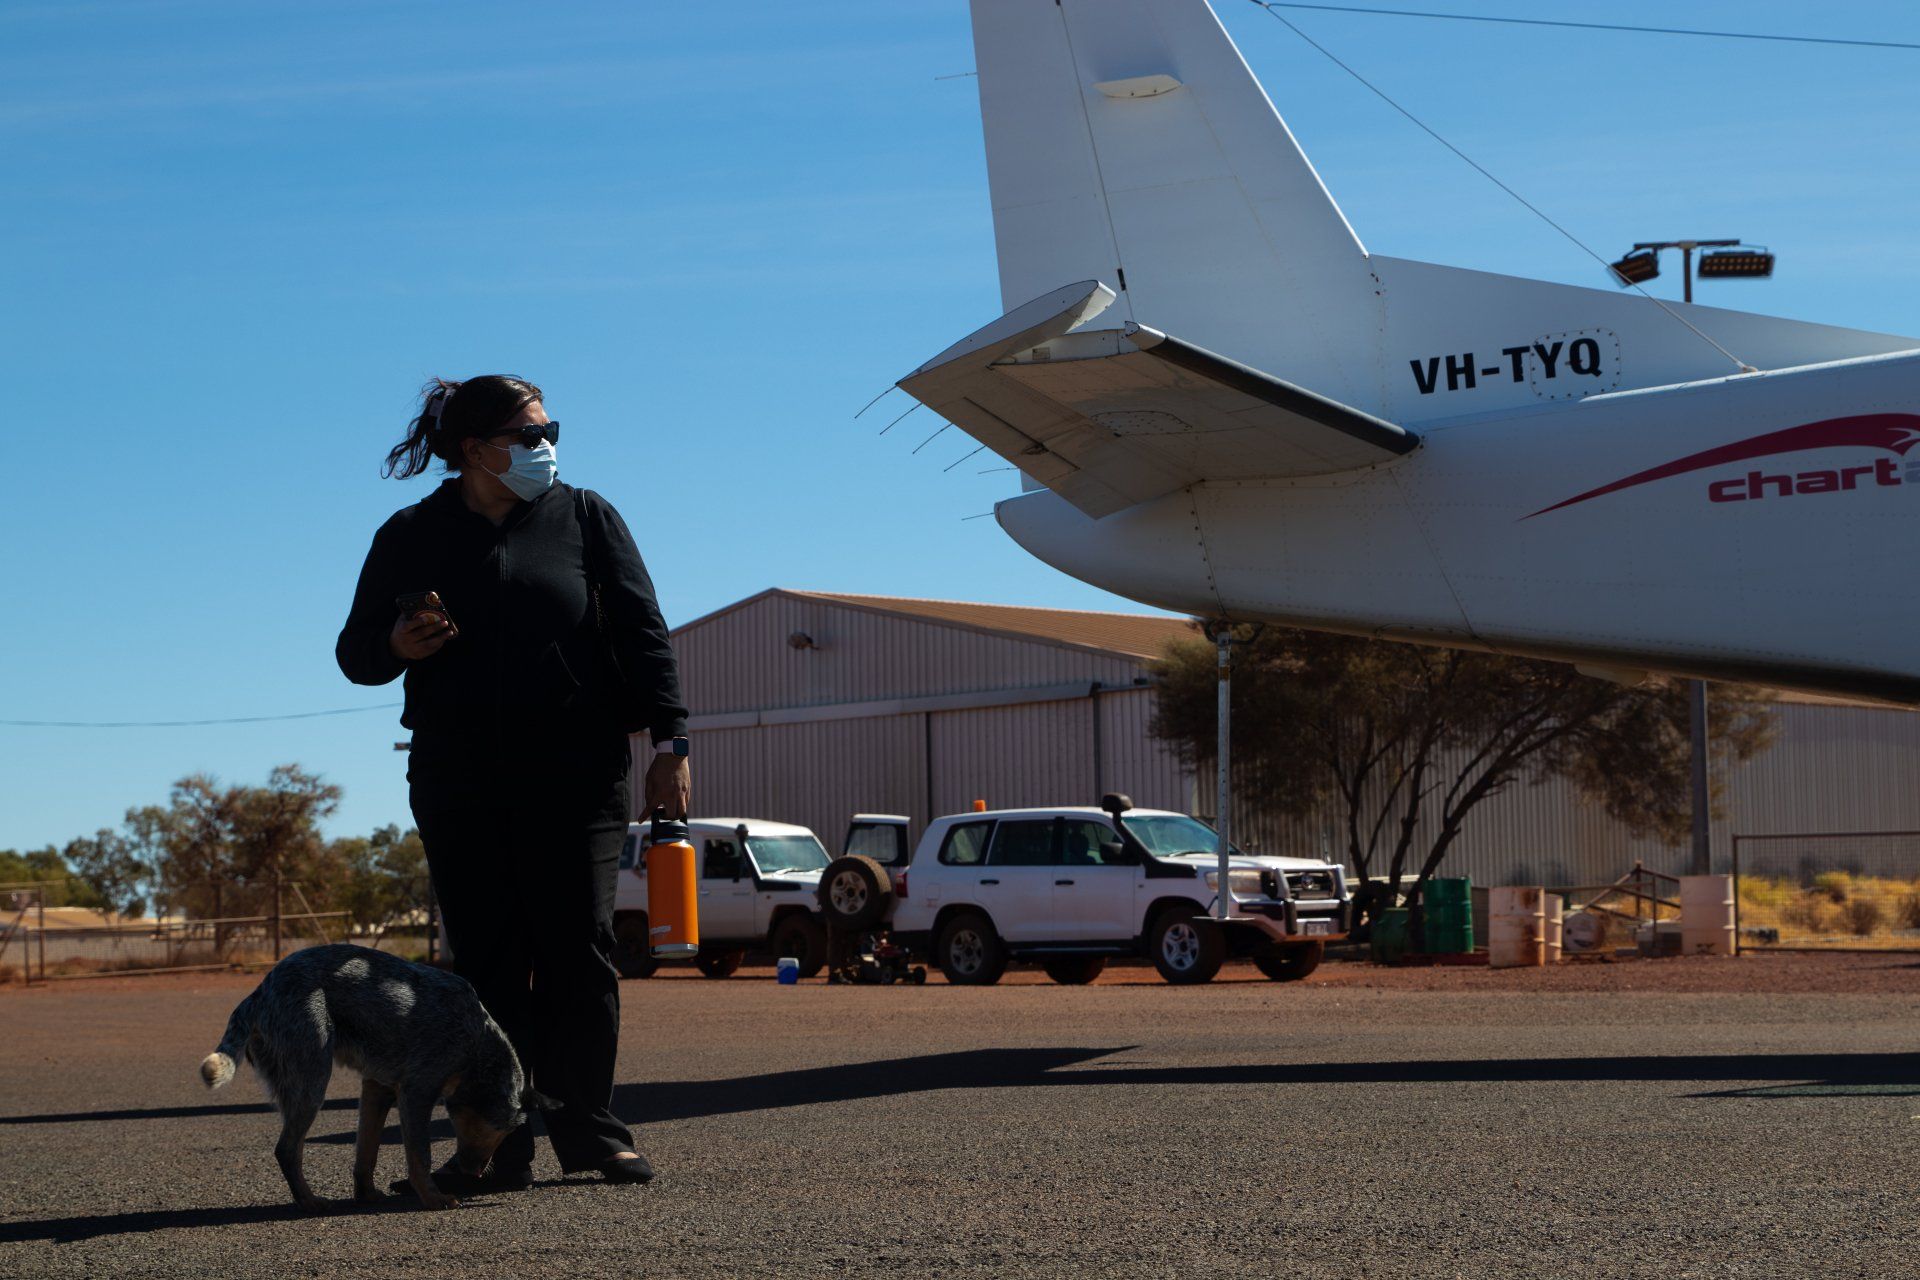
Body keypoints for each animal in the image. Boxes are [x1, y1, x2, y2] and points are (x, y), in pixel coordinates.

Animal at [199, 940, 552, 1212]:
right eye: (490, 1127)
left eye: (507, 1132)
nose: (477, 1173)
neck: (476, 1042)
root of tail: (259, 992)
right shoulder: (415, 1093)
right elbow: (419, 1155)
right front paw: (433, 1198)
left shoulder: (377, 1088)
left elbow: (366, 1151)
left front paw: (365, 1194)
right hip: (312, 1080)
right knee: (286, 1149)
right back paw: (310, 1202)